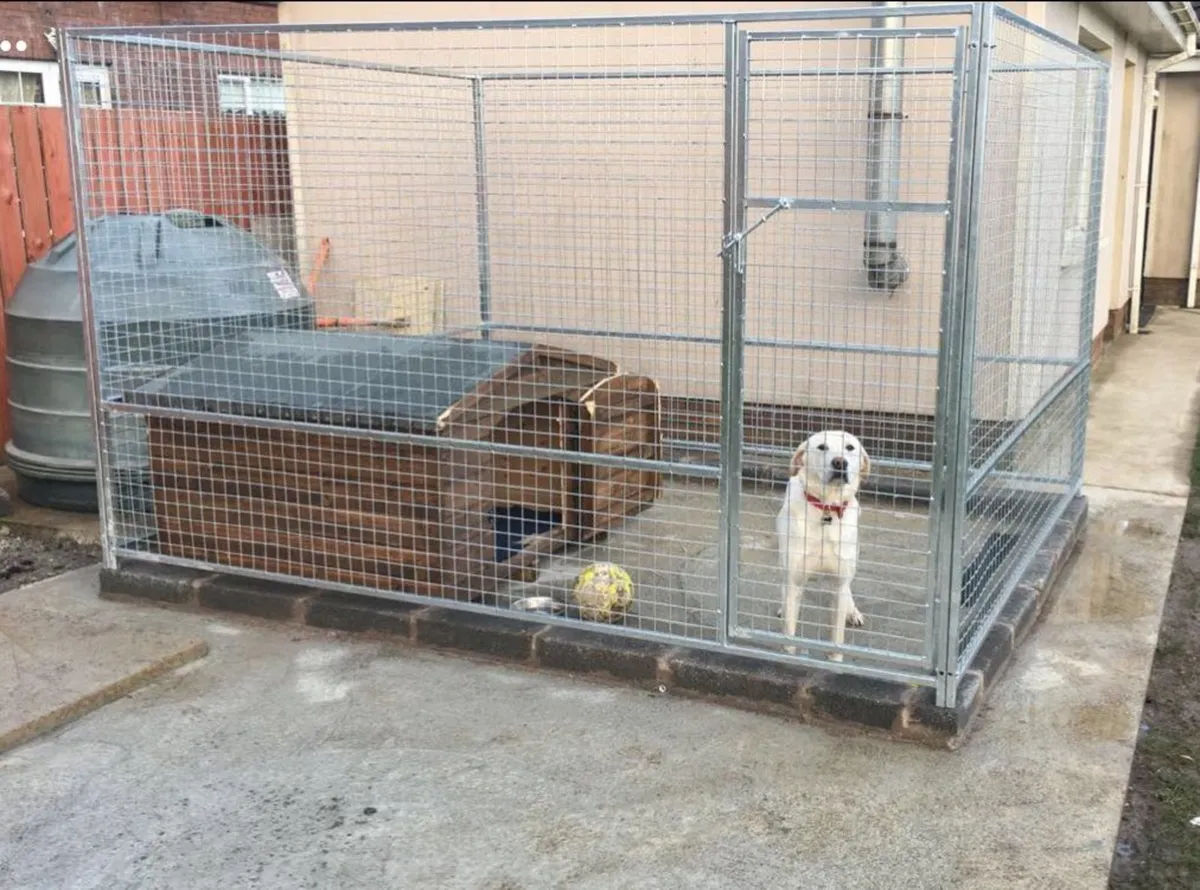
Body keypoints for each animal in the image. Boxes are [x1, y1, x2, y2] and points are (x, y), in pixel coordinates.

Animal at [777, 431, 873, 662]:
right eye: (822, 447)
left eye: (850, 447)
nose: (839, 462)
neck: (827, 508)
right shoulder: (794, 580)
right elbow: (789, 633)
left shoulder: (838, 584)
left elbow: (837, 637)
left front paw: (836, 661)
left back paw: (852, 611)